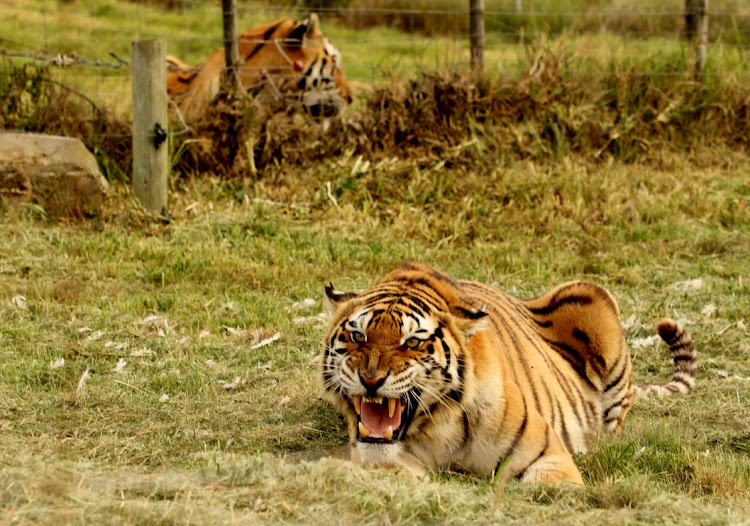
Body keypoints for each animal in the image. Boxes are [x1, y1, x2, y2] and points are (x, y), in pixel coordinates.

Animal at [318, 264, 700, 486]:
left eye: (412, 342)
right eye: (358, 336)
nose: (371, 378)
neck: (436, 427)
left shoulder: (546, 455)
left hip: (590, 296)